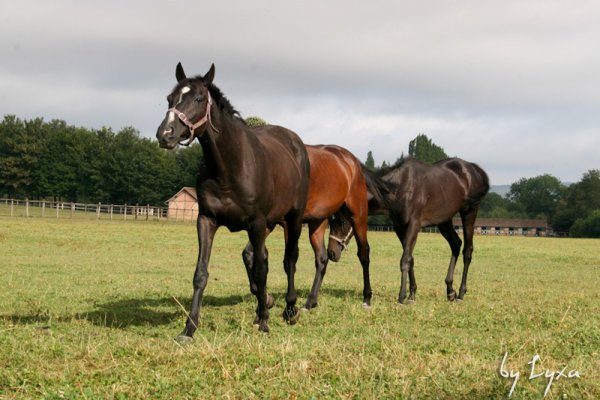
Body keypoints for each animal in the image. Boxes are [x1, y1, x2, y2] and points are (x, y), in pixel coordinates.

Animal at [240, 145, 370, 310]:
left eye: (343, 224)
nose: (333, 253)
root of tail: (351, 161)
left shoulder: (287, 224)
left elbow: (288, 261)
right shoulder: (267, 223)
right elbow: (248, 253)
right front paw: (265, 297)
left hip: (358, 217)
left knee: (364, 254)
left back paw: (367, 298)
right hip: (317, 222)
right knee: (321, 259)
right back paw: (310, 302)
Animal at [328, 156, 488, 304]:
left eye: (342, 222)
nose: (331, 253)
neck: (400, 188)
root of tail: (474, 169)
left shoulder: (413, 225)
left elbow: (405, 259)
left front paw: (402, 296)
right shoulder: (399, 227)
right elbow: (410, 258)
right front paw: (412, 294)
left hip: (469, 212)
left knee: (467, 251)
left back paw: (461, 293)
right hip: (444, 220)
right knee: (456, 244)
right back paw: (450, 291)